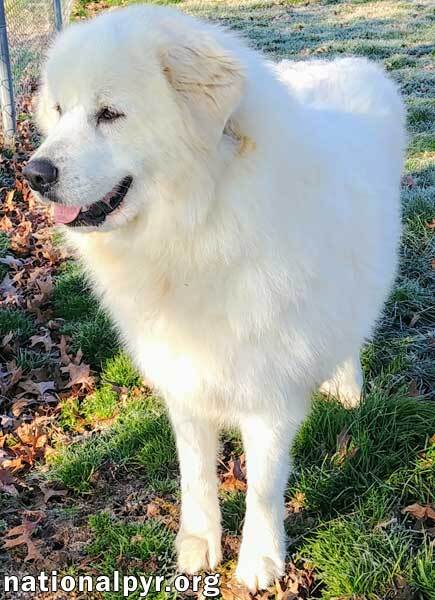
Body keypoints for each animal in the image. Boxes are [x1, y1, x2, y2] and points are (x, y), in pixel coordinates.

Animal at [23, 5, 406, 592]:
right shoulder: (184, 381)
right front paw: (198, 544)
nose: (34, 174)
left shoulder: (269, 394)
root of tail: (350, 63)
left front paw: (260, 560)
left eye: (110, 114)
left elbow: (264, 487)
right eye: (60, 111)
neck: (202, 227)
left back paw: (348, 388)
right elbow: (196, 476)